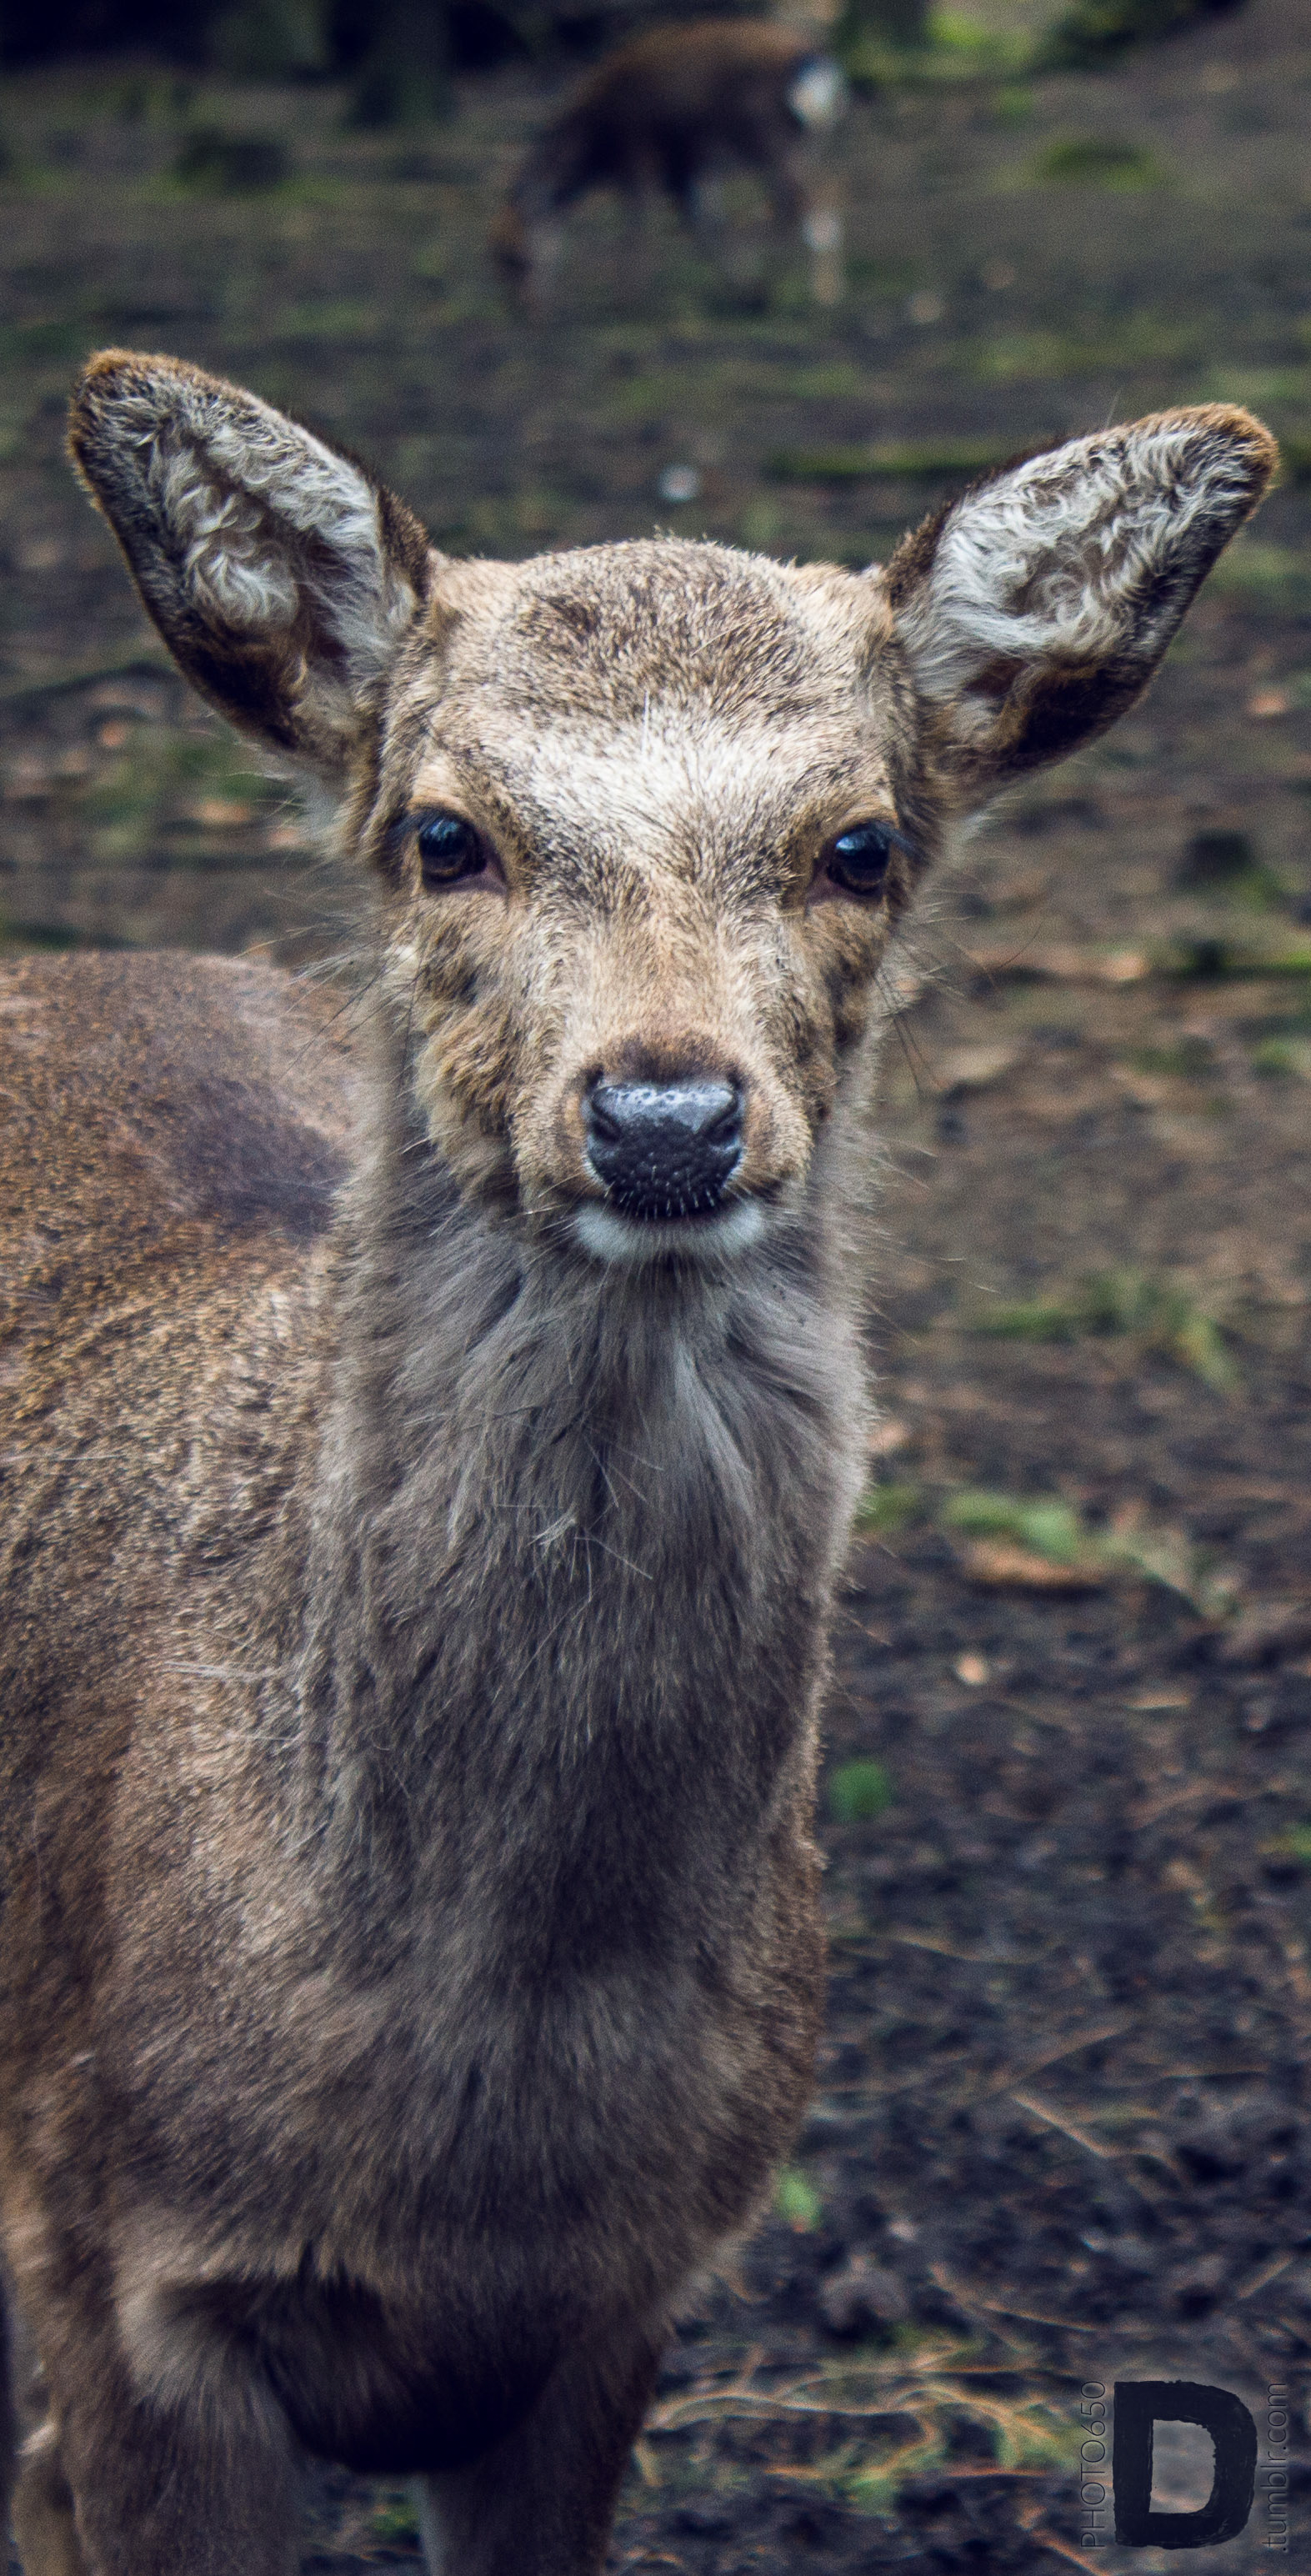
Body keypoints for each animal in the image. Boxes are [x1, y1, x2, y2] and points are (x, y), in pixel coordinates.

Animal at [489, 17, 848, 306]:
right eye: (495, 258)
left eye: (517, 258)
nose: (524, 310)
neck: (597, 138)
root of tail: (814, 64)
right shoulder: (690, 167)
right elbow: (705, 226)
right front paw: (740, 285)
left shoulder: (640, 160)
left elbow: (640, 227)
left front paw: (628, 299)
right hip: (805, 146)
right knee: (809, 203)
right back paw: (781, 288)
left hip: (770, 146)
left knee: (811, 210)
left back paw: (814, 296)